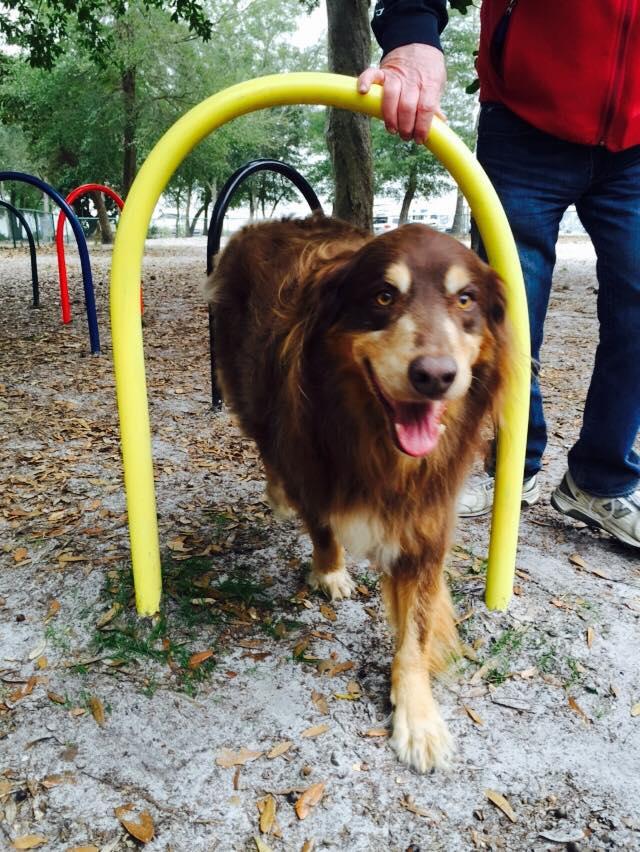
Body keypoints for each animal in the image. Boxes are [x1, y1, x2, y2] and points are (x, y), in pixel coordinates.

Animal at [206, 213, 510, 772]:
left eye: (465, 300)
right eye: (384, 296)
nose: (435, 376)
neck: (375, 441)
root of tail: (261, 224)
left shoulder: (426, 523)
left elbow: (415, 631)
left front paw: (418, 717)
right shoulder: (311, 463)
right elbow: (323, 526)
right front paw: (331, 573)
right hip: (250, 386)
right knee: (266, 446)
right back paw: (277, 496)